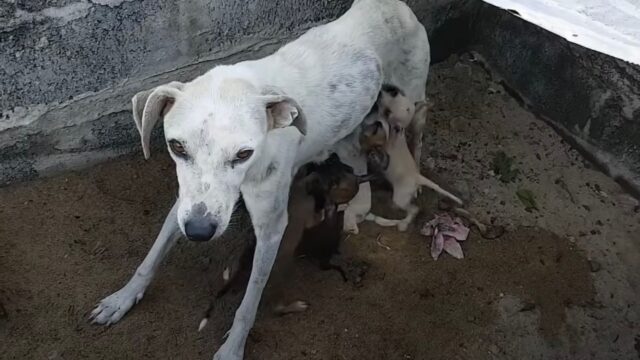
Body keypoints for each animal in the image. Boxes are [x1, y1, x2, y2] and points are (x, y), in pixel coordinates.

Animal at [89, 1, 430, 358]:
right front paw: (122, 298)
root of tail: (387, 5)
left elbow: (248, 303)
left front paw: (232, 348)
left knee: (417, 136)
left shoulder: (272, 228)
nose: (199, 232)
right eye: (177, 146)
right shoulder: (189, 203)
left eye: (243, 153)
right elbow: (152, 255)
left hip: (413, 102)